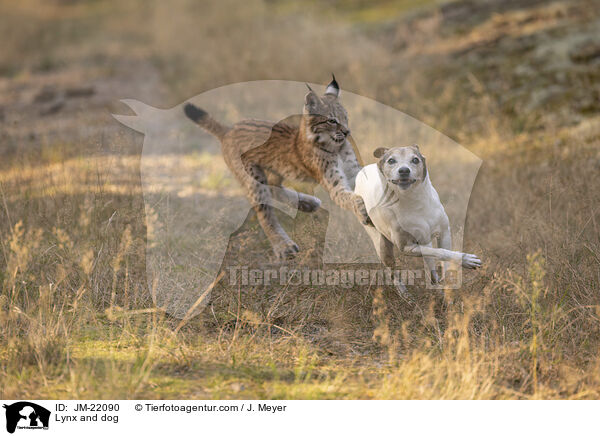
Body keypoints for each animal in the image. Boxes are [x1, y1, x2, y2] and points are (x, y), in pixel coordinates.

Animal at [354, 146, 480, 290]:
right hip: (382, 246)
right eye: (391, 160)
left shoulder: (444, 233)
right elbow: (441, 252)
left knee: (430, 265)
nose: (404, 170)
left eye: (415, 159)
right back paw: (405, 294)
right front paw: (467, 259)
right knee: (393, 274)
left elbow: (444, 253)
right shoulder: (407, 247)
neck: (413, 201)